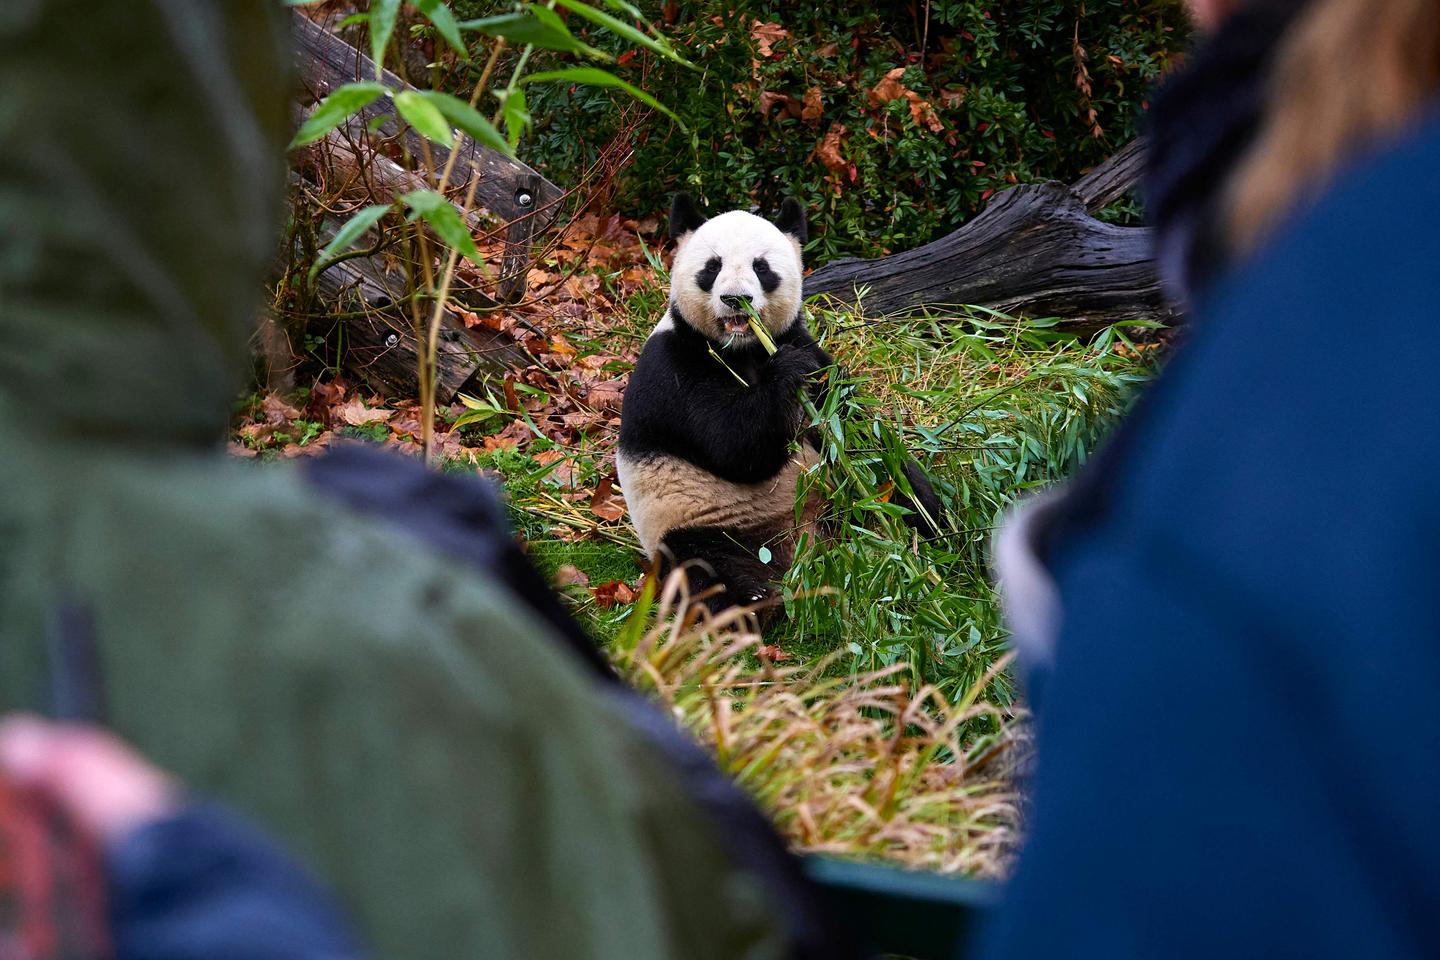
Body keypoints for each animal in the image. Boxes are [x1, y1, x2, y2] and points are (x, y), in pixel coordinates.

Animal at [617, 193, 941, 620]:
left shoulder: (806, 348)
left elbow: (851, 427)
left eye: (762, 267)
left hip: (843, 498)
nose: (735, 298)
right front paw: (785, 373)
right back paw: (751, 607)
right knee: (711, 572)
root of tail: (806, 548)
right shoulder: (673, 367)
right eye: (712, 266)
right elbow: (734, 446)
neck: (745, 350)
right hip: (699, 522)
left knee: (900, 489)